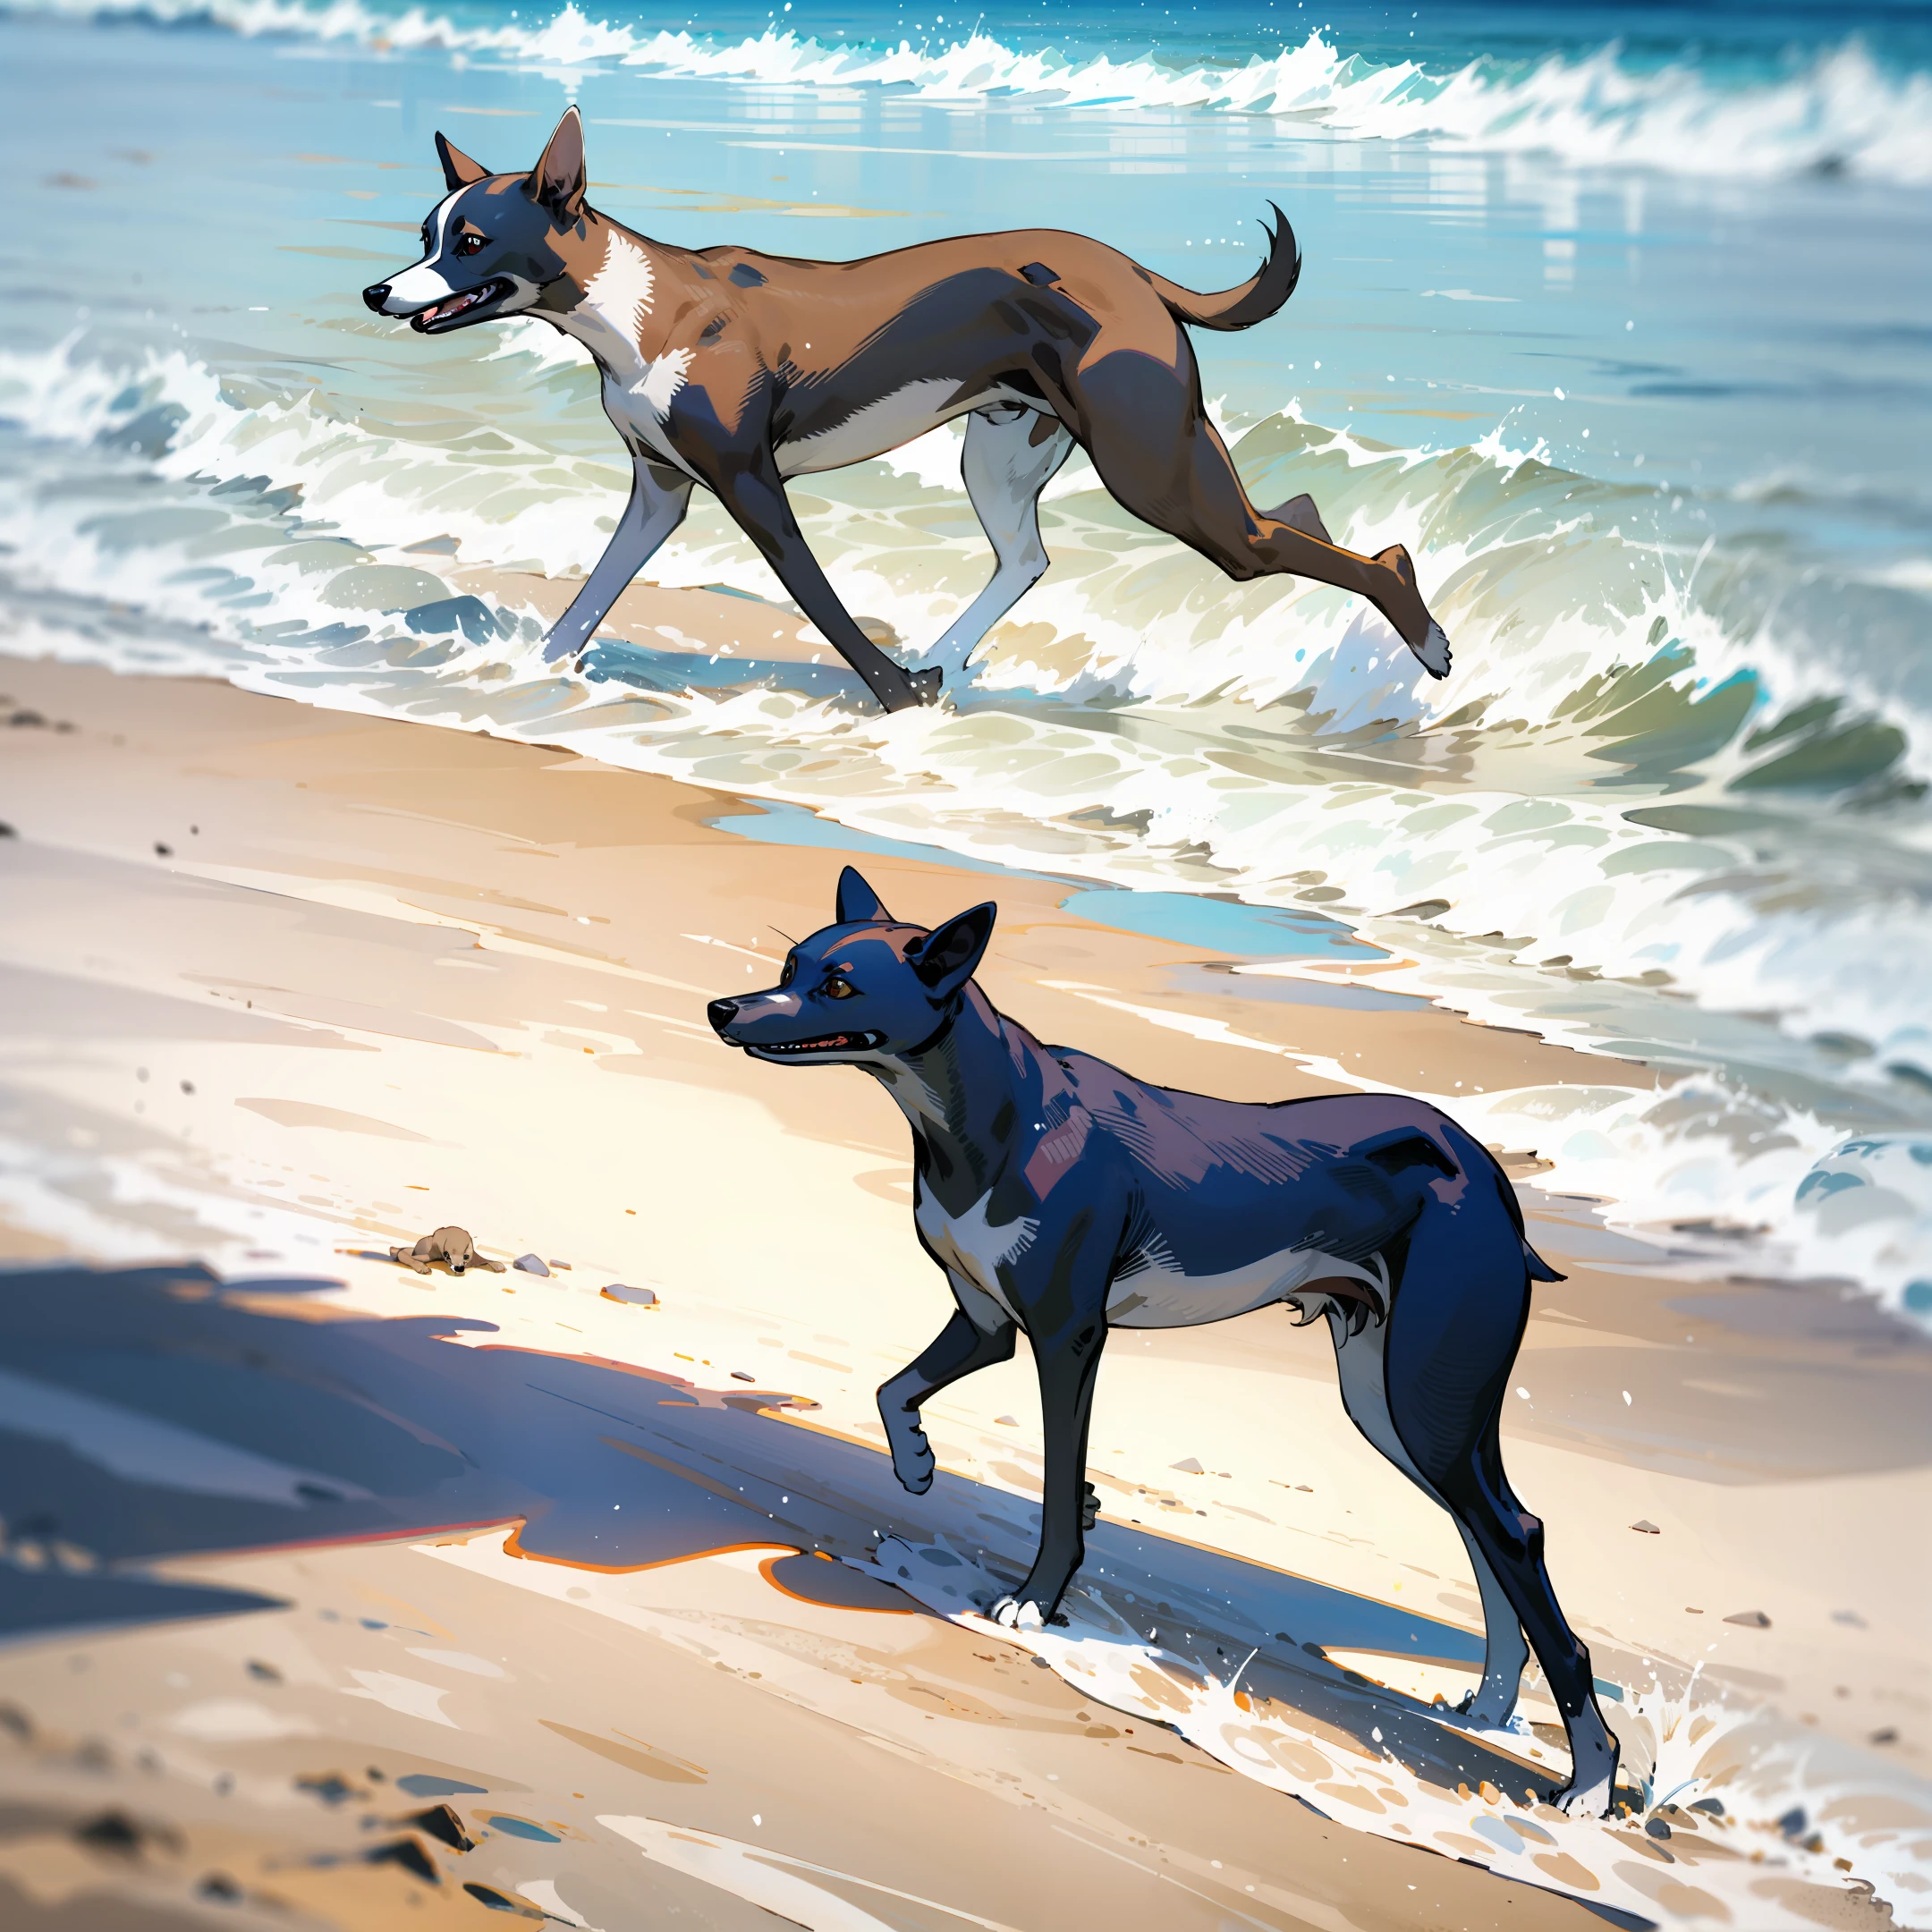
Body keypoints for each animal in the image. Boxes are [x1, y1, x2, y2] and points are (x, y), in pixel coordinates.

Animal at [365, 107, 1453, 710]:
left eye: (469, 241)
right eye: (427, 235)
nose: (379, 292)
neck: (634, 305)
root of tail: (1135, 271)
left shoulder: (751, 488)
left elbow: (828, 611)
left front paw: (889, 699)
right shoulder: (660, 491)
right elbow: (588, 601)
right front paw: (533, 670)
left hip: (1151, 470)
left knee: (1284, 539)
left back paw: (1426, 637)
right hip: (1011, 454)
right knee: (1041, 555)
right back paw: (944, 660)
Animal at [710, 873, 1614, 1808]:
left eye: (839, 986)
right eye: (791, 965)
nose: (721, 1009)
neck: (989, 1116)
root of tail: (1488, 1171)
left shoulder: (1067, 1338)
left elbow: (1055, 1488)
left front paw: (1036, 1599)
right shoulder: (988, 1324)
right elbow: (894, 1390)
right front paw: (917, 1464)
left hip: (1426, 1397)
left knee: (1514, 1535)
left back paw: (1590, 1778)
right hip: (1392, 1401)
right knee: (1490, 1534)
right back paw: (1495, 1708)